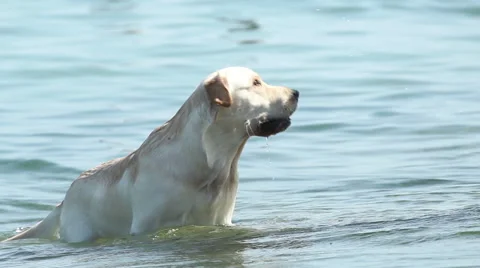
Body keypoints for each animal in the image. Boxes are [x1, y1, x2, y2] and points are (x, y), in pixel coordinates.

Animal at [3, 67, 298, 243]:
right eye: (256, 83)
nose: (296, 92)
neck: (208, 164)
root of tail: (64, 199)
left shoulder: (220, 220)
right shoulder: (146, 226)